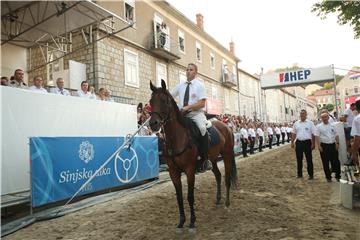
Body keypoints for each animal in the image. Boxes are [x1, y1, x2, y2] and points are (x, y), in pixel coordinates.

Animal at [148, 80, 238, 229]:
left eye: (164, 100)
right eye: (151, 101)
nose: (153, 123)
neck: (178, 137)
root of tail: (226, 127)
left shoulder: (190, 170)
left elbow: (190, 196)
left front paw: (192, 221)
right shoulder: (173, 171)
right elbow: (179, 197)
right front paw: (181, 221)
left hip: (227, 156)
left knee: (226, 178)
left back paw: (227, 203)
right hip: (213, 160)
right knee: (218, 176)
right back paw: (218, 200)